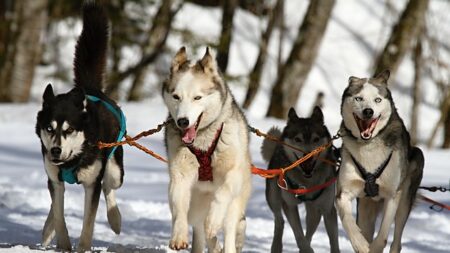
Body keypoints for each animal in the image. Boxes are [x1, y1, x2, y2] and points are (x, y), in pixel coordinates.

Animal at [35, 3, 123, 251]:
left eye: (69, 130)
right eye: (49, 128)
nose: (55, 150)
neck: (72, 160)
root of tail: (90, 88)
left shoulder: (92, 184)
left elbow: (88, 221)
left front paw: (83, 247)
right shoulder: (55, 178)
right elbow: (58, 213)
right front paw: (63, 244)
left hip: (115, 170)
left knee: (109, 186)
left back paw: (115, 219)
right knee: (54, 203)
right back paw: (47, 230)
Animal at [163, 46, 253, 252]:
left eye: (197, 97)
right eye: (176, 97)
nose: (183, 121)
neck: (203, 141)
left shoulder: (232, 174)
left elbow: (222, 192)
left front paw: (213, 220)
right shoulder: (180, 176)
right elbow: (179, 209)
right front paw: (179, 235)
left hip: (235, 205)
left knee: (228, 229)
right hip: (196, 207)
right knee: (200, 229)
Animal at [262, 106, 340, 253]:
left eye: (316, 139)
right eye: (297, 139)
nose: (307, 156)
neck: (307, 182)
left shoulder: (328, 210)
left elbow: (333, 242)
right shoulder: (290, 205)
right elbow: (299, 235)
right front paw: (306, 249)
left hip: (314, 212)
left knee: (309, 232)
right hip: (273, 197)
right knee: (279, 221)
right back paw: (276, 246)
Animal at [336, 69, 424, 253]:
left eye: (377, 99)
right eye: (358, 98)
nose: (368, 111)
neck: (369, 145)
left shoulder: (392, 195)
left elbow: (382, 235)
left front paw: (374, 247)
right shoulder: (343, 194)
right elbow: (349, 223)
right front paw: (360, 244)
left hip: (405, 200)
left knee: (396, 240)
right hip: (365, 208)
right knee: (366, 227)